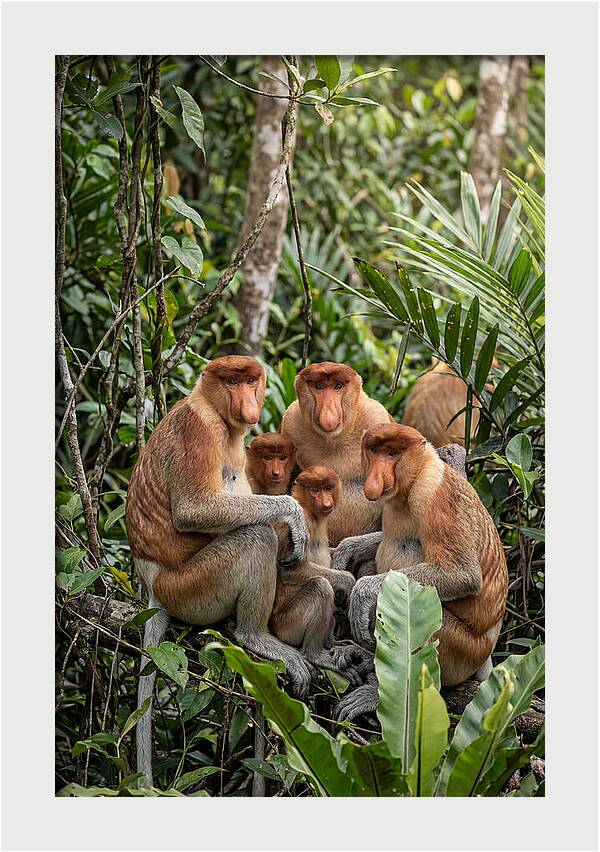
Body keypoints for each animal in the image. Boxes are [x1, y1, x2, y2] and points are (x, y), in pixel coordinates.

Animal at [125, 355, 312, 786]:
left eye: (251, 380)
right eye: (231, 381)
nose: (248, 403)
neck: (213, 407)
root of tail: (153, 585)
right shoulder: (199, 429)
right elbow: (195, 509)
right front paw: (293, 515)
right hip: (192, 587)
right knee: (255, 537)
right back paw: (254, 636)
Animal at [269, 466, 370, 681]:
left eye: (328, 487)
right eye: (315, 490)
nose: (326, 502)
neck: (310, 511)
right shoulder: (302, 523)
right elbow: (291, 570)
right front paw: (349, 581)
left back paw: (336, 644)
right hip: (288, 626)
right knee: (321, 586)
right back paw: (315, 654)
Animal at [280, 362, 393, 549]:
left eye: (337, 386)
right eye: (319, 386)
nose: (328, 414)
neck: (334, 440)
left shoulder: (376, 417)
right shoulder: (290, 422)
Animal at [333, 423, 508, 722]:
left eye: (392, 453)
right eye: (374, 451)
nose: (376, 477)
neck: (414, 479)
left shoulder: (435, 496)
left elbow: (462, 574)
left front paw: (362, 593)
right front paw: (347, 549)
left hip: (461, 650)